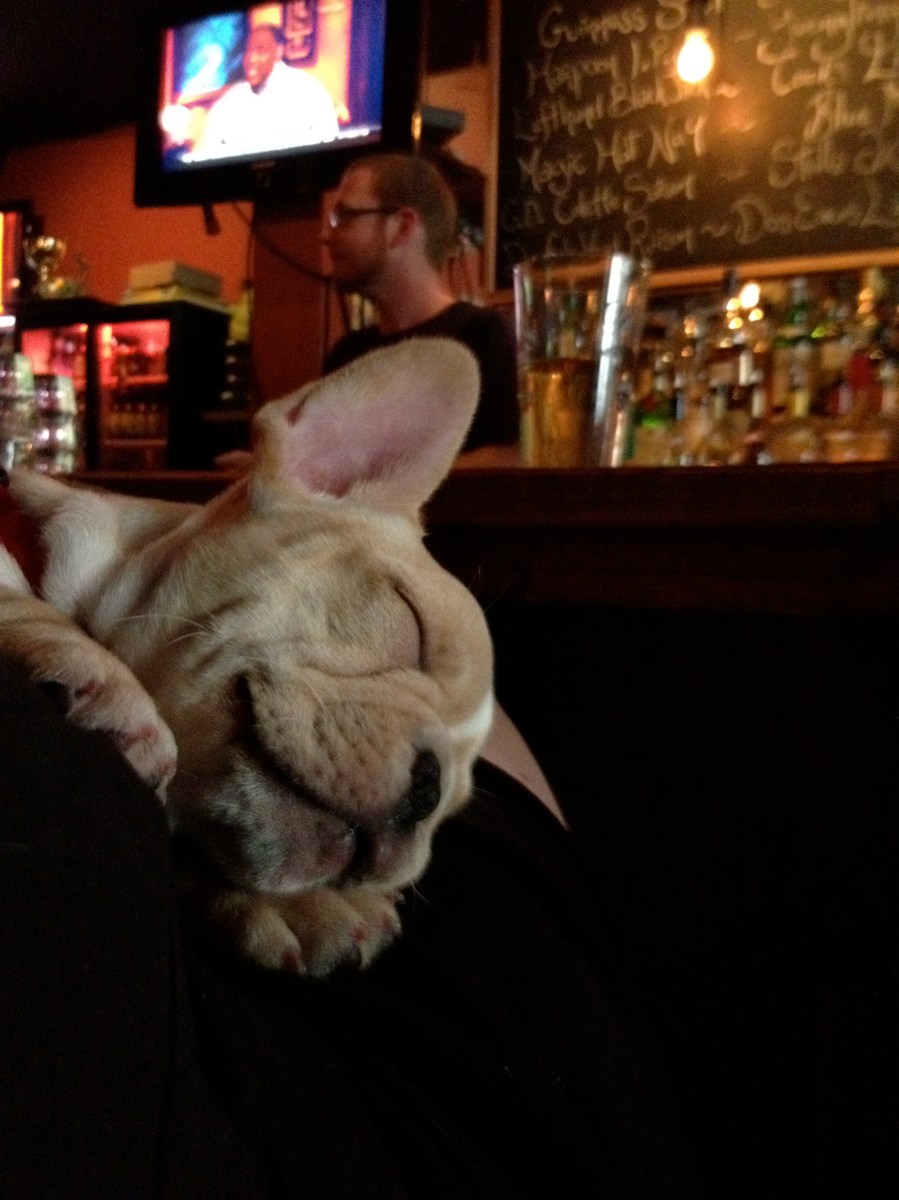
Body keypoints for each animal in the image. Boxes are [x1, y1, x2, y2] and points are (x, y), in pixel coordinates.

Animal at [0, 339, 494, 976]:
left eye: (447, 812)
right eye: (409, 621)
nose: (429, 791)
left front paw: (295, 905)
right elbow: (17, 600)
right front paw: (98, 675)